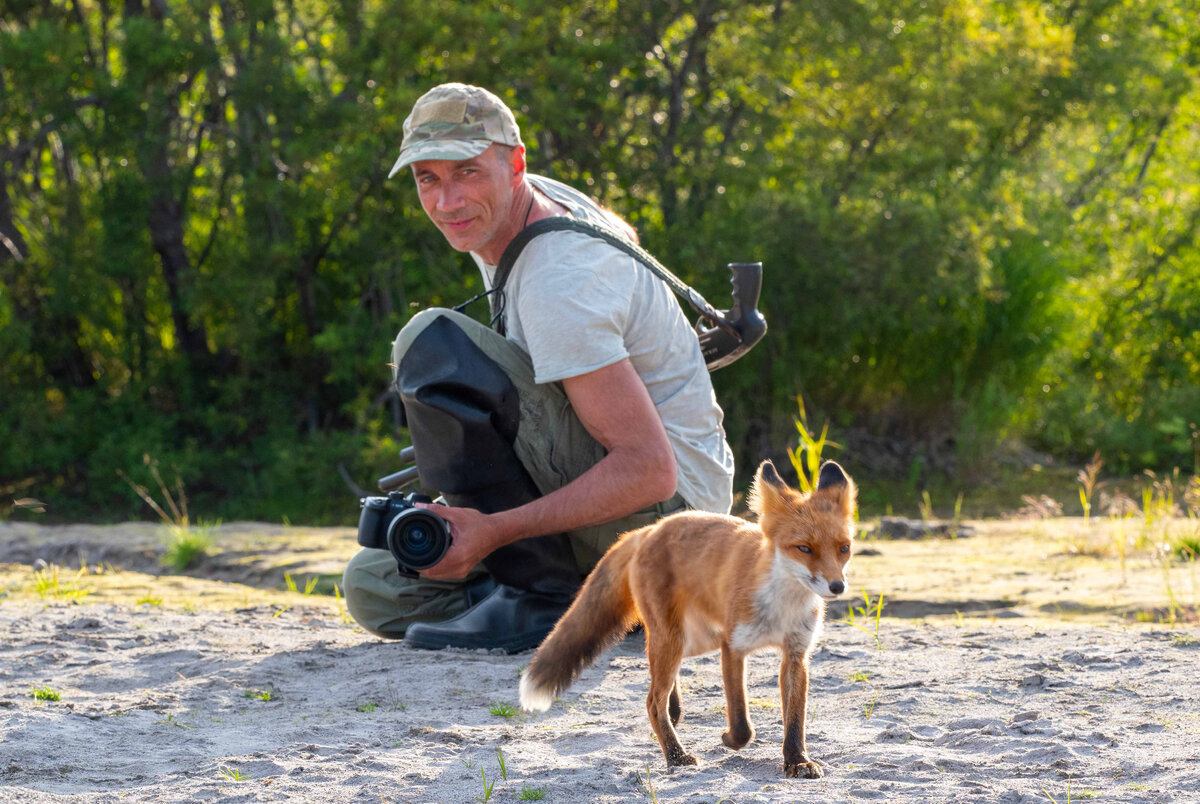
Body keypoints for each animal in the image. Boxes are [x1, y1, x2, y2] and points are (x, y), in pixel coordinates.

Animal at [520, 460, 859, 782]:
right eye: (804, 548)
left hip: (695, 639)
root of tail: (650, 528)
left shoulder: (795, 654)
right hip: (675, 637)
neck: (783, 607)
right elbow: (741, 722)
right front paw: (730, 739)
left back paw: (674, 709)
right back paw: (676, 755)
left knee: (661, 676)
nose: (837, 587)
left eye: (844, 548)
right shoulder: (732, 646)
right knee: (652, 700)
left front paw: (797, 761)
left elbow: (795, 719)